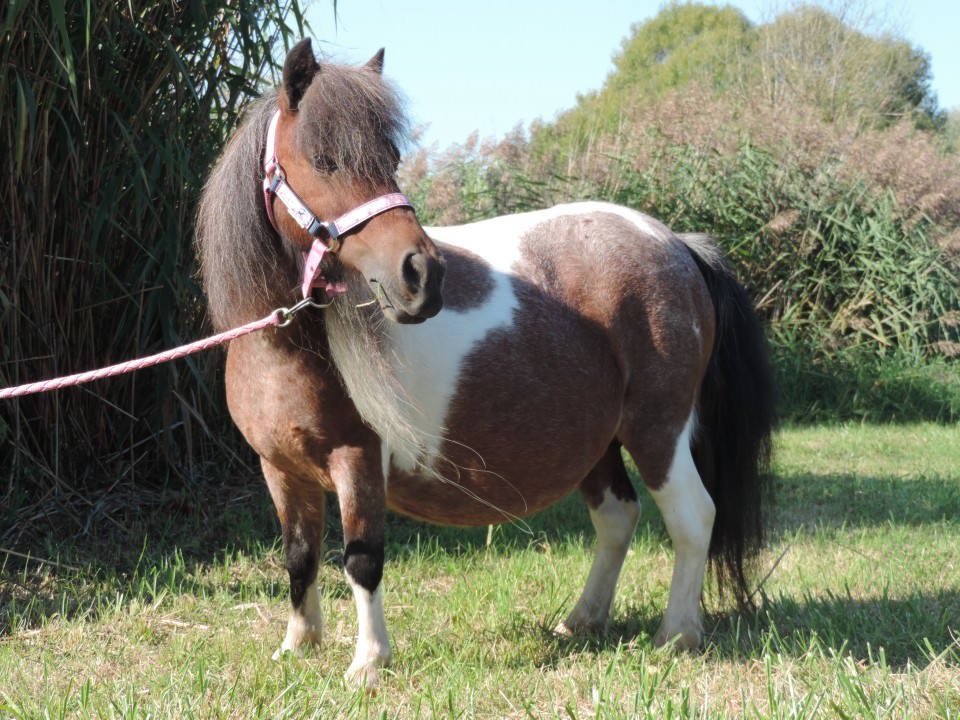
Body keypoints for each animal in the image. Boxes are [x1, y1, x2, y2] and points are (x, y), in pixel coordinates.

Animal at [197, 38, 780, 688]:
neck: (285, 348)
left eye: (391, 156)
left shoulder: (358, 459)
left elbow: (362, 560)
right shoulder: (281, 468)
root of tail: (678, 243)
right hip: (599, 441)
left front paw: (368, 664)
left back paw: (676, 635)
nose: (422, 276)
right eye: (323, 159)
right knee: (618, 518)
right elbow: (300, 557)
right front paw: (299, 646)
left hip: (659, 429)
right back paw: (582, 621)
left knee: (693, 517)